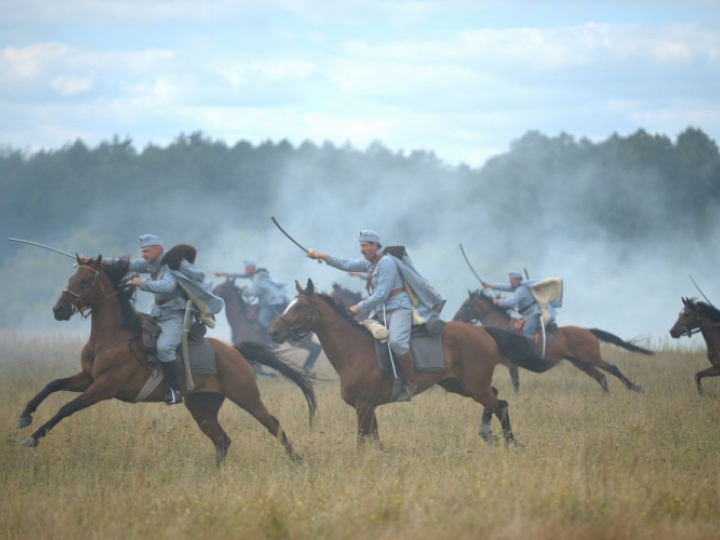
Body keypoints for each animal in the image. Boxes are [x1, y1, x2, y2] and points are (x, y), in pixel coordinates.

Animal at [15, 258, 316, 464]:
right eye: (72, 277)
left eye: (84, 281)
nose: (58, 310)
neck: (112, 337)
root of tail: (234, 352)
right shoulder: (86, 379)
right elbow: (52, 385)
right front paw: (25, 415)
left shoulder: (102, 388)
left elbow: (66, 407)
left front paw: (32, 437)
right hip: (202, 407)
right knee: (222, 439)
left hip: (247, 397)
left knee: (273, 425)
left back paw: (297, 461)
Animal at [268, 278, 556, 448]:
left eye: (298, 307)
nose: (272, 332)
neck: (353, 351)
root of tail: (482, 331)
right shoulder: (369, 407)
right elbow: (375, 441)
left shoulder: (363, 407)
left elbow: (363, 441)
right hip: (460, 385)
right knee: (496, 398)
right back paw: (487, 433)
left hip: (475, 387)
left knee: (501, 405)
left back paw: (511, 442)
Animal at [456, 292, 652, 392]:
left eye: (466, 305)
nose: (455, 318)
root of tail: (588, 331)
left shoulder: (511, 365)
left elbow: (516, 384)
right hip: (581, 362)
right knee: (601, 377)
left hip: (592, 358)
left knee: (612, 369)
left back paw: (636, 388)